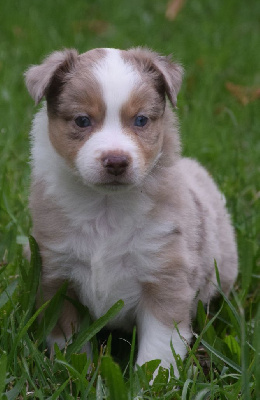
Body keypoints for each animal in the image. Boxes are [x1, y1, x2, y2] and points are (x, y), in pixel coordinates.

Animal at [24, 47, 238, 372]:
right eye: (82, 120)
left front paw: (150, 381)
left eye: (140, 120)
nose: (116, 161)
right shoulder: (57, 278)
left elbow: (158, 352)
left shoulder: (165, 278)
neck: (106, 207)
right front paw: (77, 373)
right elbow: (70, 346)